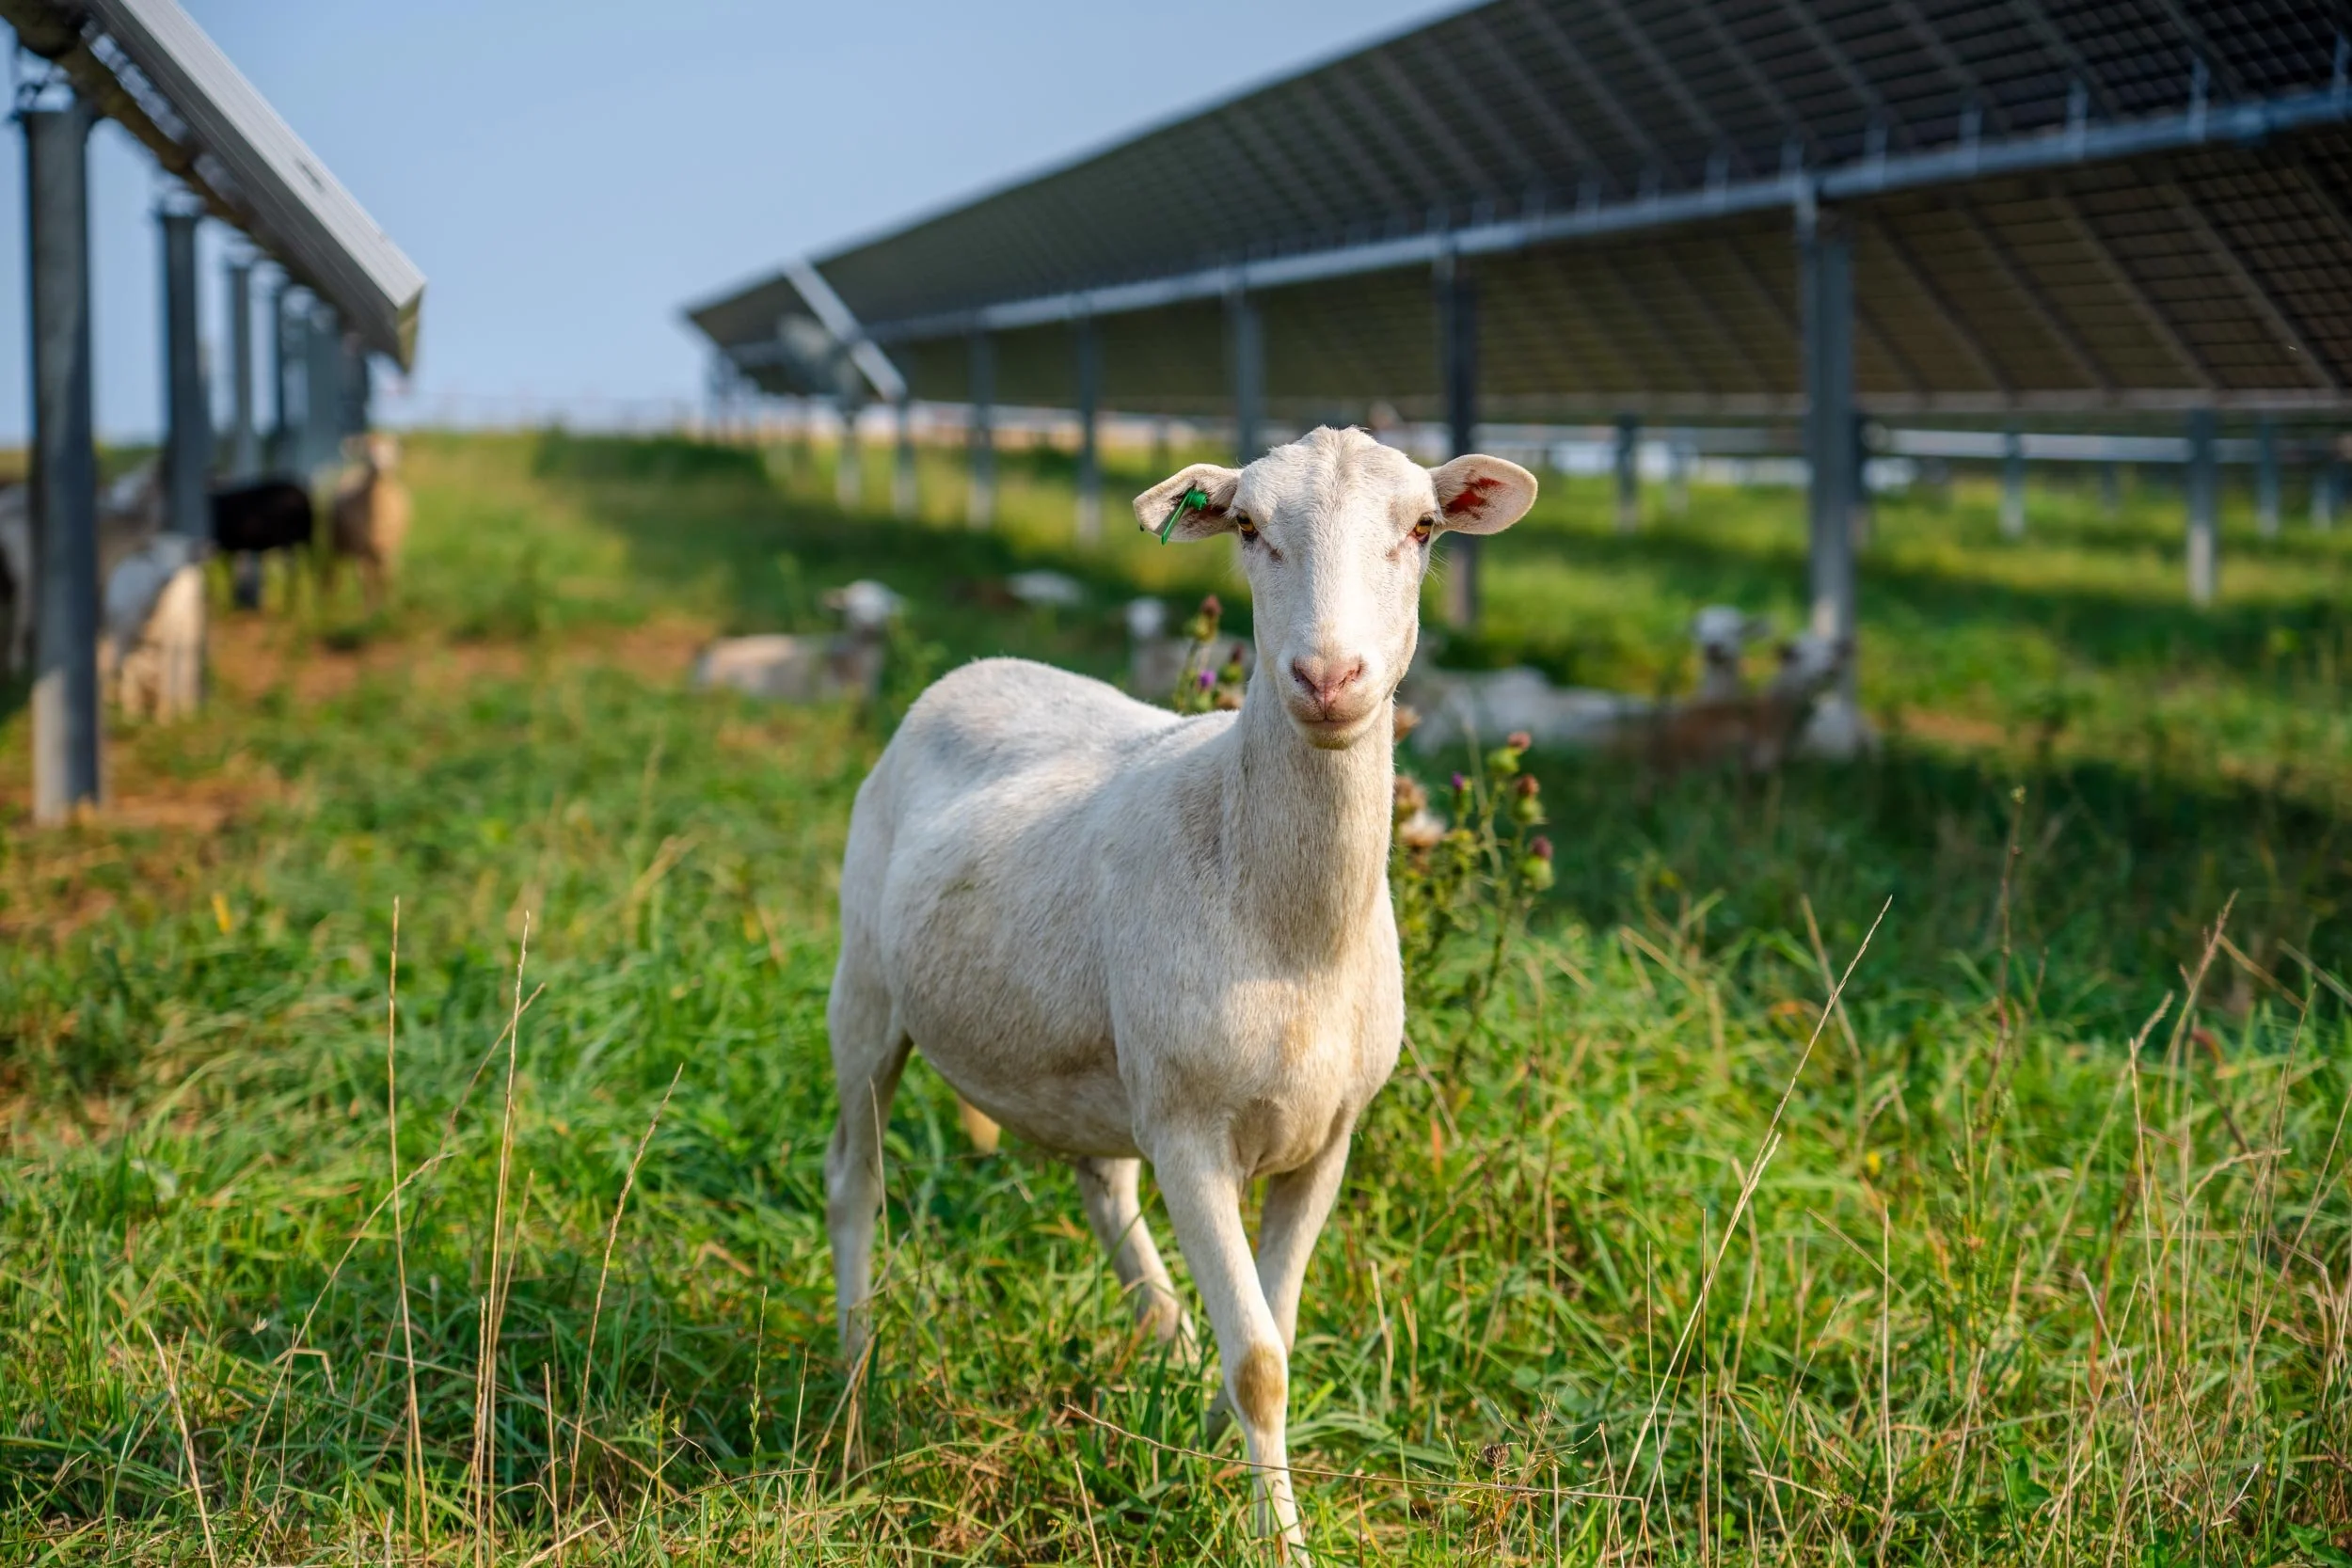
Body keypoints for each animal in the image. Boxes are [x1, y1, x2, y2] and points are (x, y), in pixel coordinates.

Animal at [824, 427, 1537, 1553]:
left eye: (1423, 528)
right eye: (1247, 526)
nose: (1328, 675)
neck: (1290, 934)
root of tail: (972, 671)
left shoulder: (1329, 1136)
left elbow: (1273, 1327)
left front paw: (1211, 1440)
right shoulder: (1192, 1131)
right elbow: (1262, 1362)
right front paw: (1280, 1538)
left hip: (1101, 1062)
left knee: (1101, 1184)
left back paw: (1164, 1339)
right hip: (864, 986)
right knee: (854, 1179)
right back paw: (854, 1389)